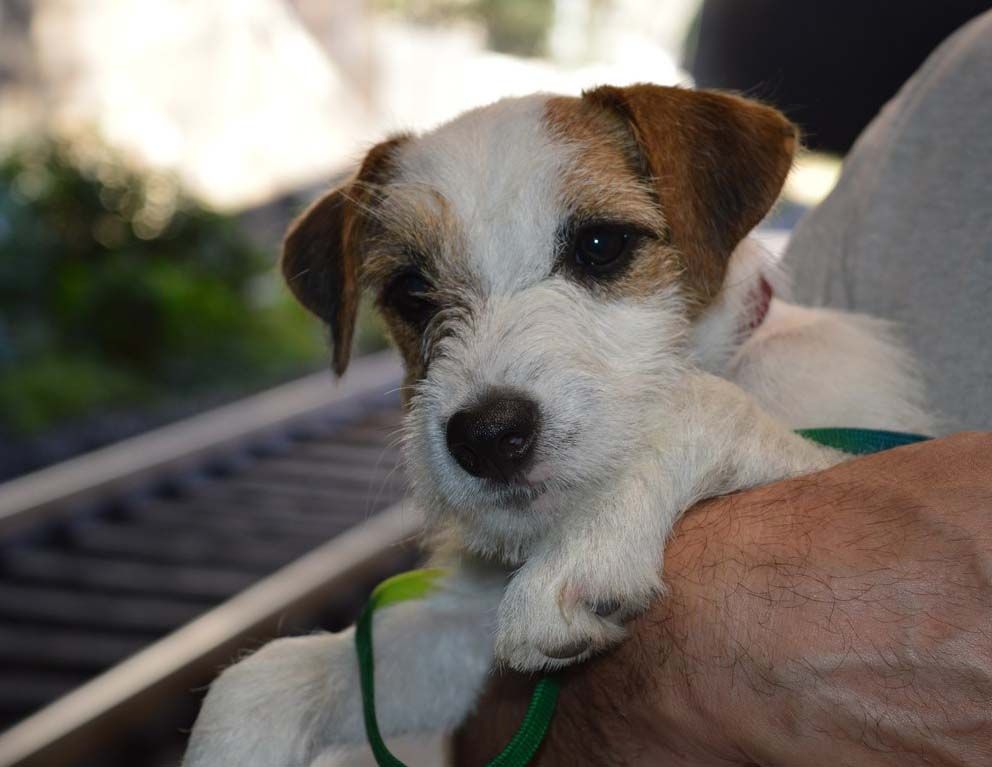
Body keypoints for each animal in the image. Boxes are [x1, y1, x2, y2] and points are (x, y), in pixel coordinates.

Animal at [183, 84, 933, 766]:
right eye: (411, 291)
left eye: (601, 244)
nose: (487, 437)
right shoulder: (468, 626)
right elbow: (258, 680)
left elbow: (704, 405)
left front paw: (585, 549)